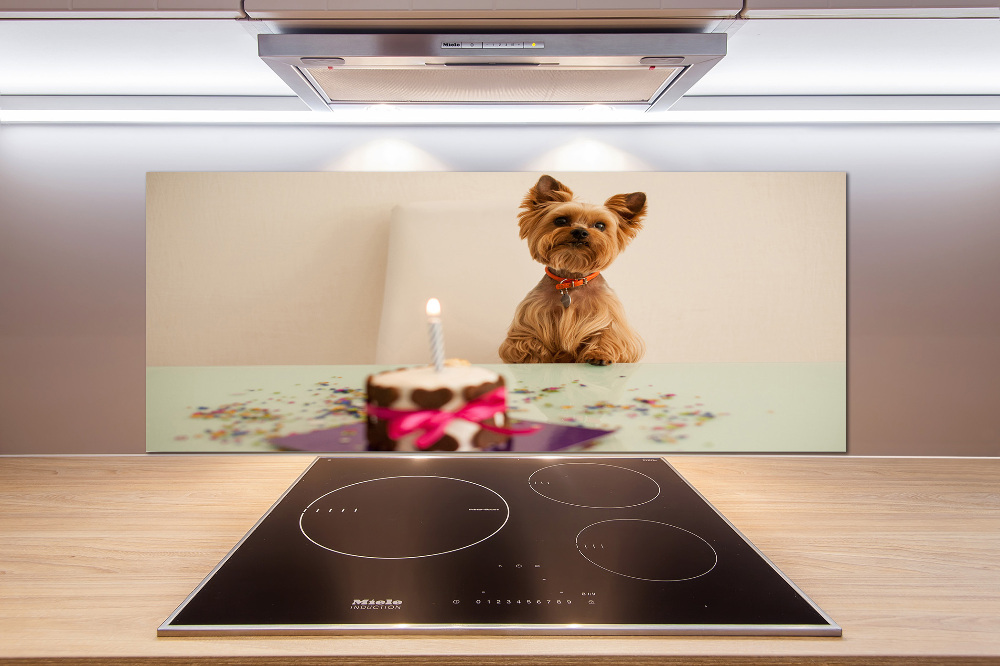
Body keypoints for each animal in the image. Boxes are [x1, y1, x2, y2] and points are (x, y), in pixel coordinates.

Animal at [500, 174, 648, 366]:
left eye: (600, 225)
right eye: (561, 220)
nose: (580, 232)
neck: (571, 280)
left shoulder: (610, 319)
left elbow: (607, 335)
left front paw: (599, 354)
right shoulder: (529, 319)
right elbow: (527, 341)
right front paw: (534, 357)